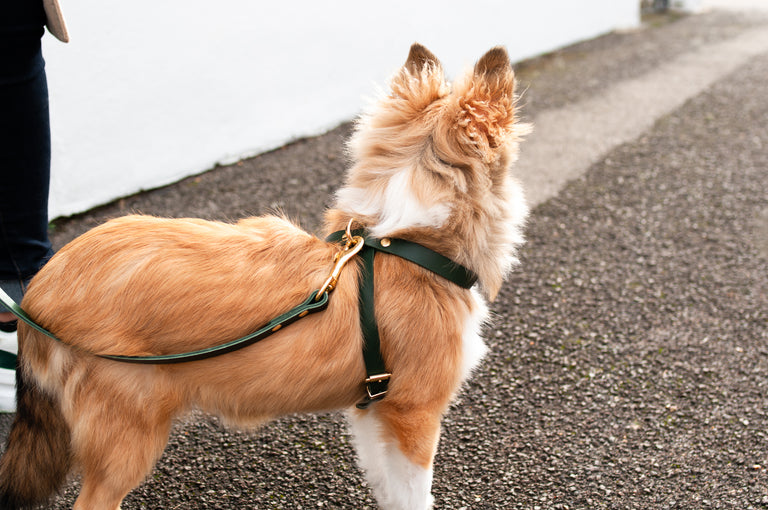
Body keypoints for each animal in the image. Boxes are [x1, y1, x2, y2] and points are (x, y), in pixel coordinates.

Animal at [0, 44, 528, 510]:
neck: (404, 243)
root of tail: (41, 294)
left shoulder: (372, 409)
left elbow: (387, 488)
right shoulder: (413, 414)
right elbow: (416, 493)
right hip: (128, 435)